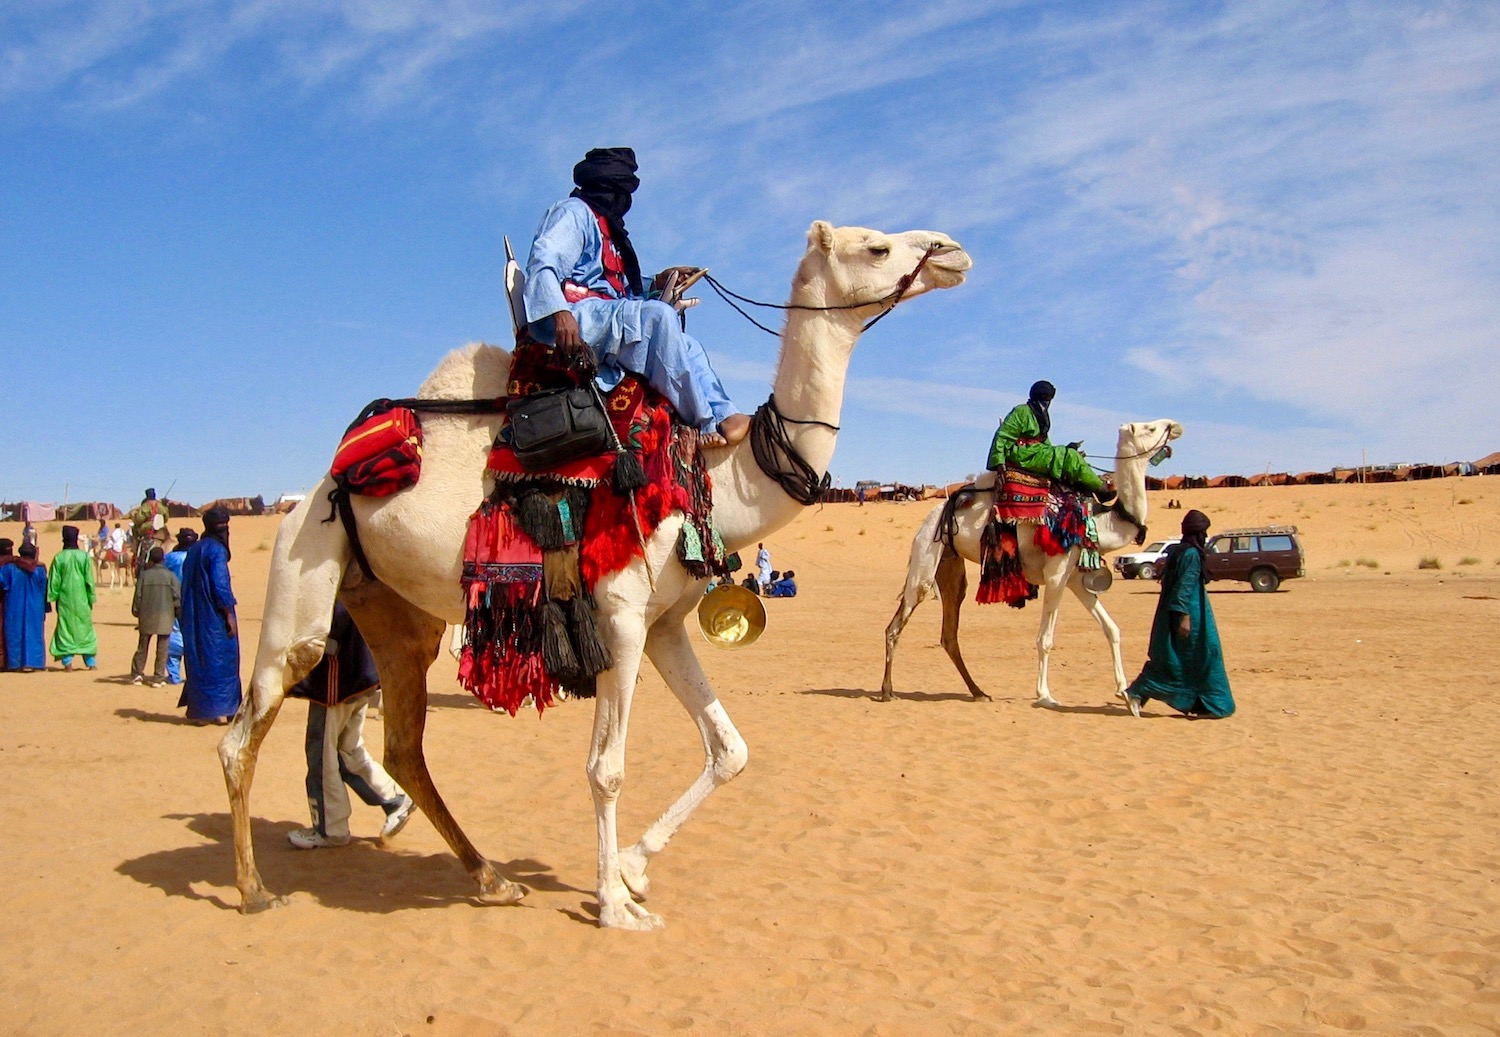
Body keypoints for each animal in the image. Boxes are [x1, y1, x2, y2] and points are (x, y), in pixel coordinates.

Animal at [222, 223, 972, 930]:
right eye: (875, 247)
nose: (952, 251)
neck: (716, 476)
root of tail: (321, 482)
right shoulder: (619, 617)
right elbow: (607, 768)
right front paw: (615, 904)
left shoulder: (664, 623)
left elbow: (728, 749)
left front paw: (634, 868)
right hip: (306, 568)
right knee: (247, 728)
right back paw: (253, 890)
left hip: (396, 613)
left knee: (405, 745)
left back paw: (493, 879)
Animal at [876, 417, 1182, 711]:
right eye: (1150, 428)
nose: (1175, 426)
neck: (1101, 520)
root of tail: (936, 512)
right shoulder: (1057, 573)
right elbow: (1045, 639)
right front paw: (1045, 696)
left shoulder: (1073, 578)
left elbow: (1111, 629)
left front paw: (1124, 693)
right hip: (927, 552)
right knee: (897, 623)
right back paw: (888, 691)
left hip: (951, 564)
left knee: (949, 631)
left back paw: (979, 692)